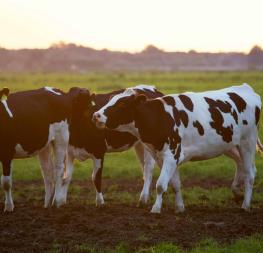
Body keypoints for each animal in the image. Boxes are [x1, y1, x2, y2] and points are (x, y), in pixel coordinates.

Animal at [93, 83, 262, 213]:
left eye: (122, 103)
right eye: (110, 100)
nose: (96, 115)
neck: (160, 117)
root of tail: (245, 88)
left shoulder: (172, 154)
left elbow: (161, 184)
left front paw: (156, 208)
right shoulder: (163, 157)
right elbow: (175, 184)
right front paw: (180, 207)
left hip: (247, 142)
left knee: (250, 174)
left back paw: (245, 205)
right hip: (230, 145)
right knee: (243, 165)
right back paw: (237, 192)